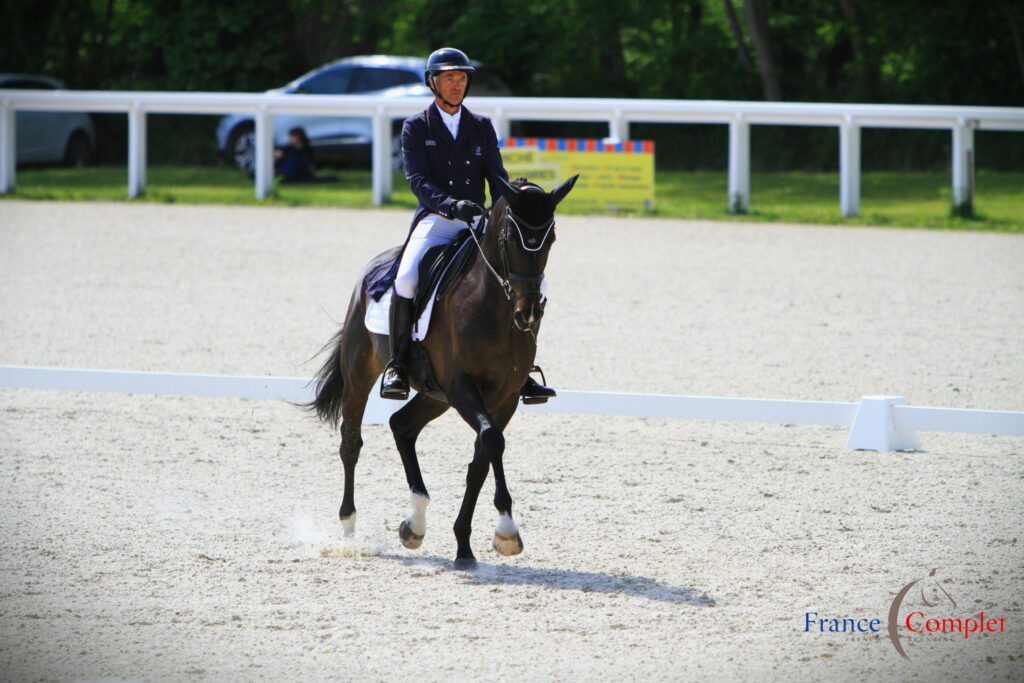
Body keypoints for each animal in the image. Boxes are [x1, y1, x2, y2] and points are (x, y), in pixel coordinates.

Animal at [305, 174, 577, 569]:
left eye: (551, 238)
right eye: (510, 239)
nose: (528, 314)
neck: (494, 307)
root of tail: (375, 266)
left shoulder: (504, 396)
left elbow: (481, 460)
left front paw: (465, 546)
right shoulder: (463, 386)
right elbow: (492, 441)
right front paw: (507, 532)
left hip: (437, 396)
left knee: (402, 425)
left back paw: (414, 524)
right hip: (361, 373)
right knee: (351, 442)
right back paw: (349, 531)